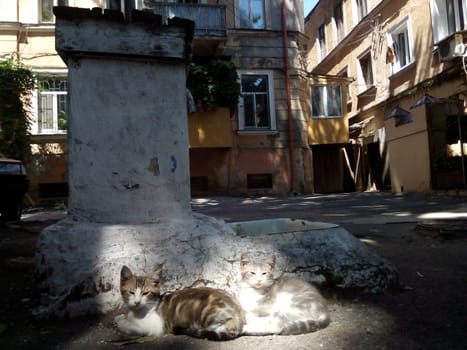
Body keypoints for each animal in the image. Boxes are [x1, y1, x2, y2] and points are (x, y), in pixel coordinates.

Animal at [114, 264, 245, 340]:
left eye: (145, 293)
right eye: (131, 292)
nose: (136, 302)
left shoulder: (155, 327)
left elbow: (130, 326)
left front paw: (121, 321)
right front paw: (121, 316)